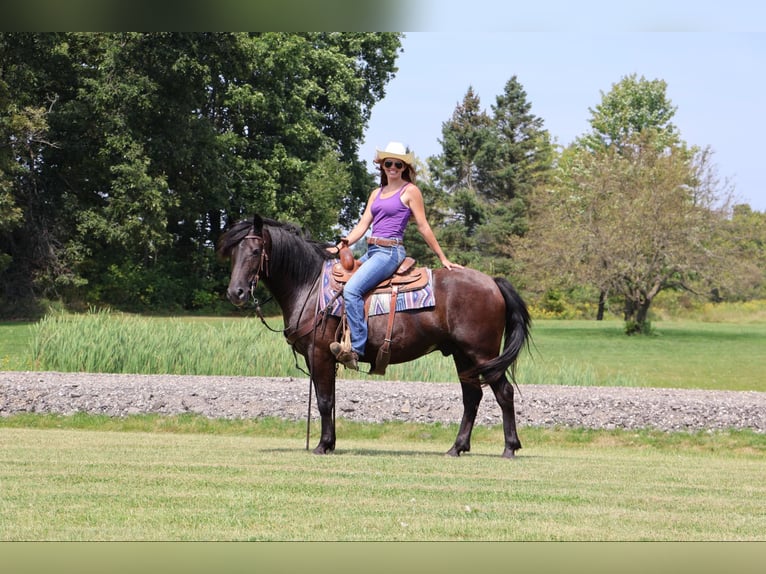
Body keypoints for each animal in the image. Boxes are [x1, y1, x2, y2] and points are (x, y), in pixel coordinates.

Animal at [220, 215, 536, 460]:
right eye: (233, 253)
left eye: (255, 250)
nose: (236, 292)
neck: (309, 284)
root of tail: (492, 281)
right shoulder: (322, 358)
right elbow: (329, 399)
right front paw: (330, 443)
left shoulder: (319, 354)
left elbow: (324, 401)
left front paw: (322, 446)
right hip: (463, 356)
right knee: (472, 397)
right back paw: (456, 448)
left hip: (483, 354)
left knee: (503, 393)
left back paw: (510, 447)